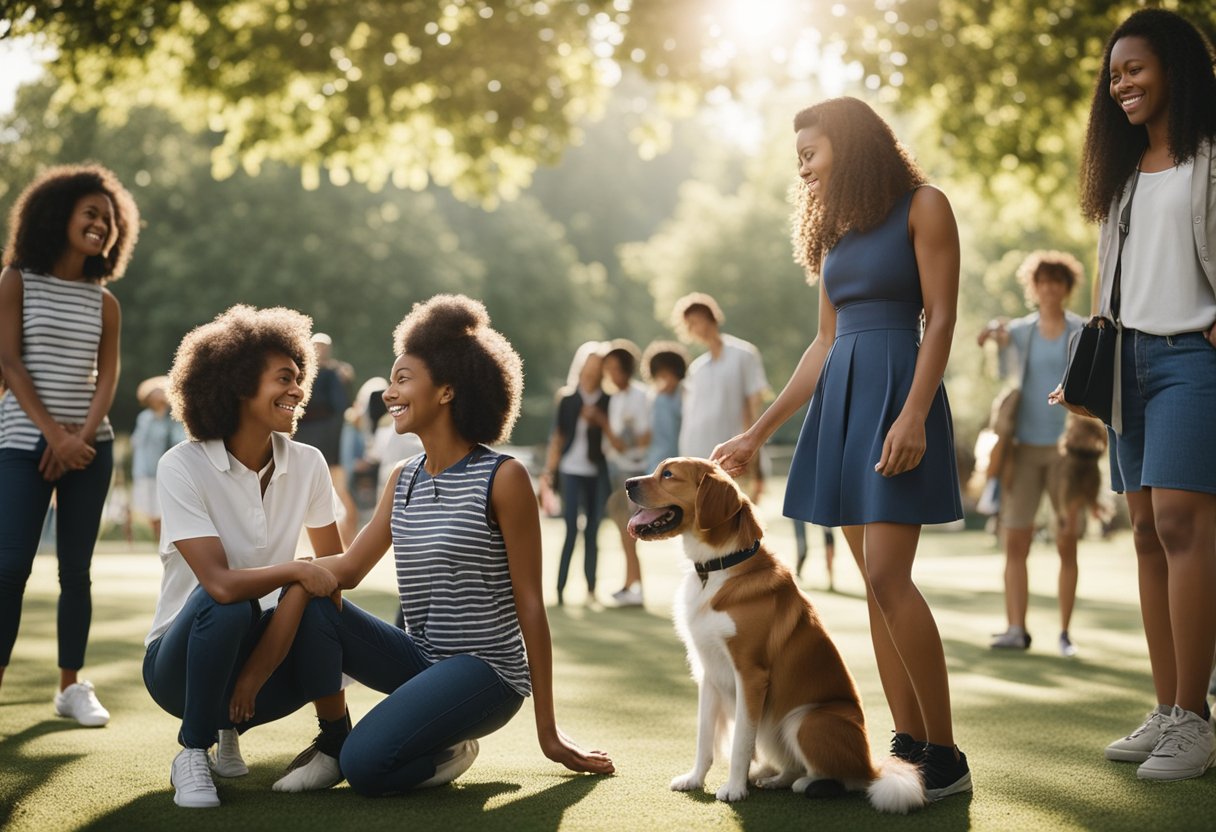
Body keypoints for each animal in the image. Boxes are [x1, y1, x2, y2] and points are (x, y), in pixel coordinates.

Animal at [627, 454, 919, 812]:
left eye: (668, 474)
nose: (627, 483)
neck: (718, 568)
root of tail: (871, 764)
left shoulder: (751, 676)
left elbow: (740, 742)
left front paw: (734, 789)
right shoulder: (708, 675)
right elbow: (704, 739)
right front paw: (695, 779)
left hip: (806, 720)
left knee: (849, 779)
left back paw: (807, 783)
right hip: (776, 725)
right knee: (793, 765)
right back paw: (773, 778)